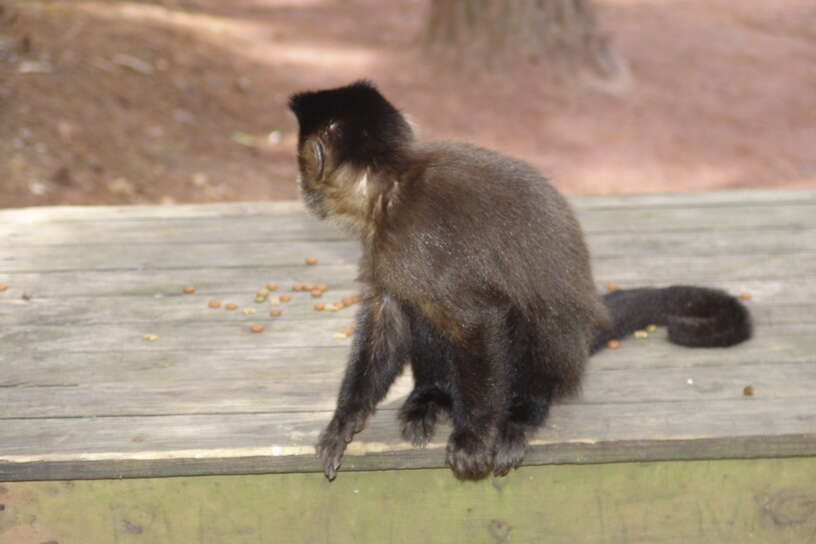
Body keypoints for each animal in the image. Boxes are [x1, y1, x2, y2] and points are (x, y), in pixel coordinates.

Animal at [288, 81, 752, 480]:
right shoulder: (385, 248)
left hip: (560, 352)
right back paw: (433, 397)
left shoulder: (417, 243)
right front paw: (346, 419)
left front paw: (474, 436)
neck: (391, 189)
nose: (300, 184)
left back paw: (522, 415)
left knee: (533, 317)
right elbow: (390, 316)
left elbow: (481, 320)